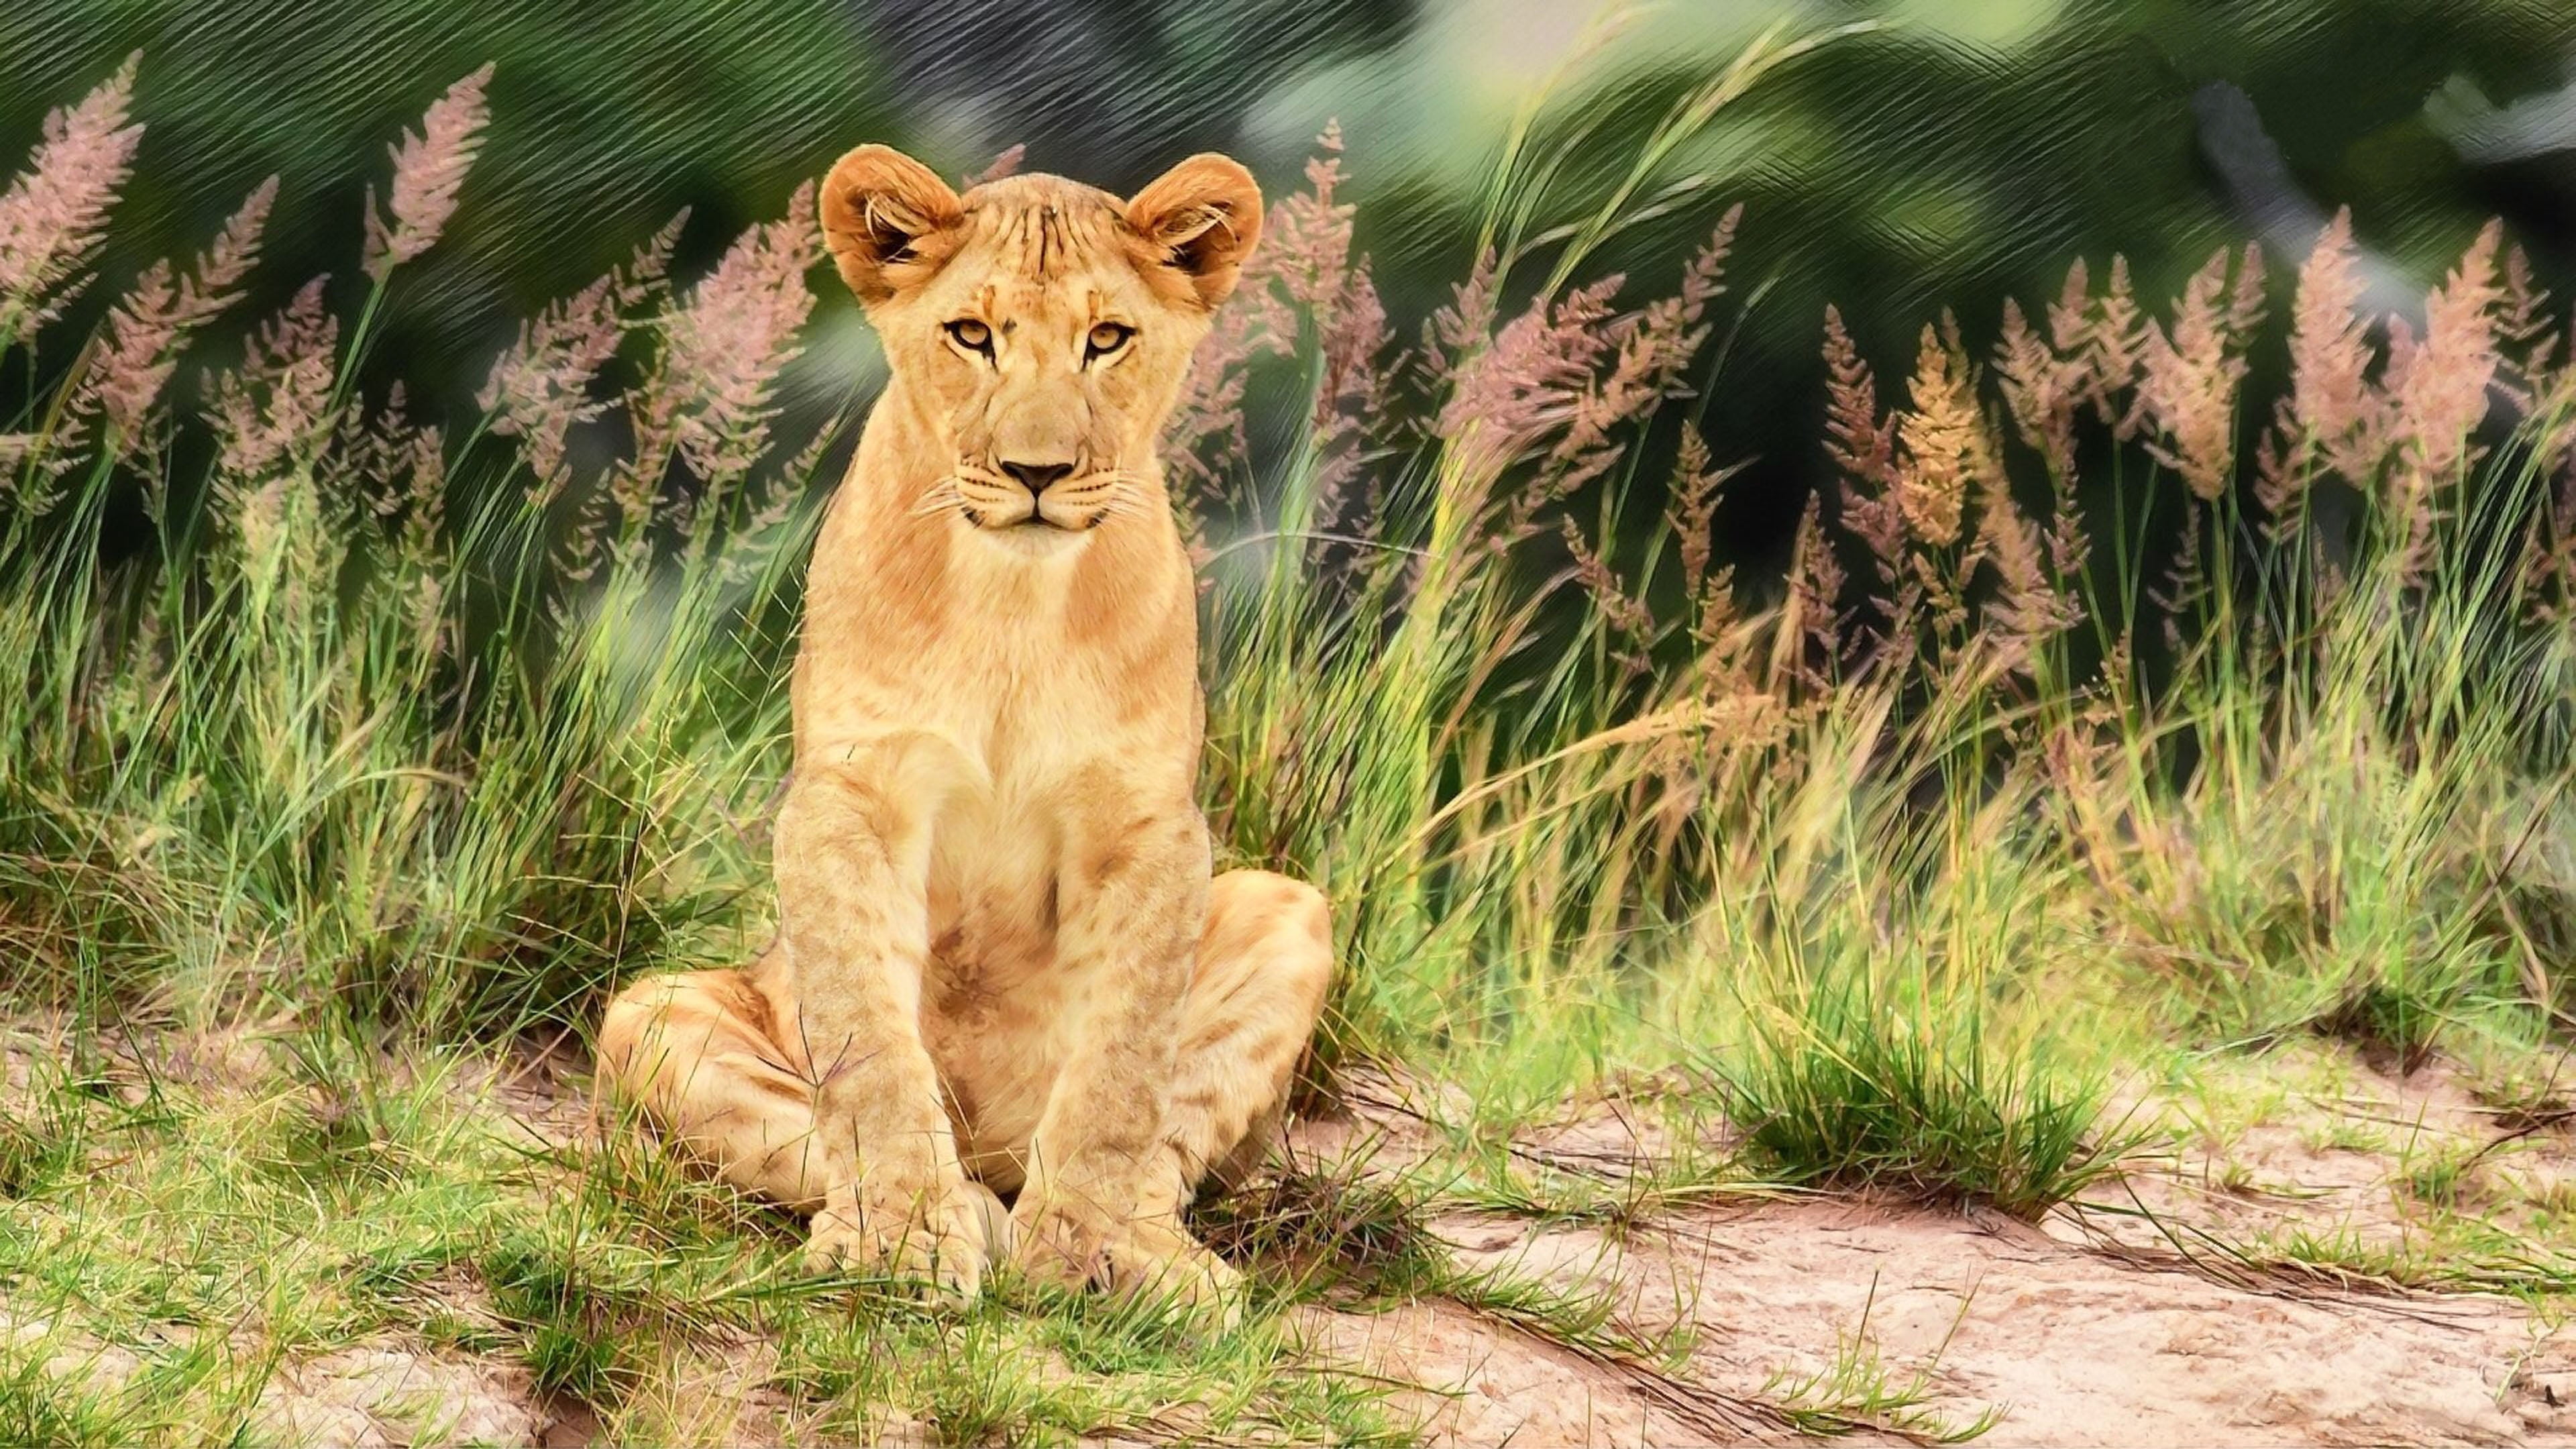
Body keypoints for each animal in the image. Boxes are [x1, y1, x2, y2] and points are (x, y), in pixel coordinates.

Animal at [596, 143, 1332, 1316]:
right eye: (972, 336)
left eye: (1106, 338)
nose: (1037, 473)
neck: (1013, 604)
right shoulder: (850, 800)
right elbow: (869, 1052)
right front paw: (903, 1241)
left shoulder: (1149, 829)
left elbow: (1120, 1076)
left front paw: (1088, 1258)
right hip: (655, 1010)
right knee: (824, 1132)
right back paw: (964, 1213)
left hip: (1286, 907)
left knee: (1161, 1144)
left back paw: (1151, 1256)